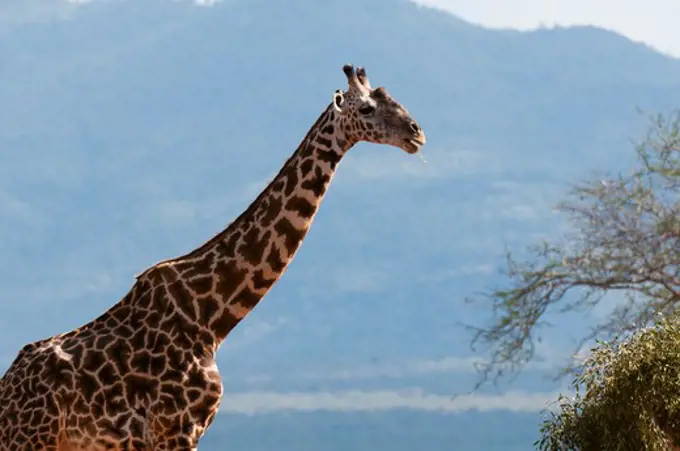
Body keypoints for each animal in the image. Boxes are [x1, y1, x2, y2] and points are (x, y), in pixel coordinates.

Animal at [0, 64, 424, 451]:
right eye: (366, 108)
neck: (212, 317)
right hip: (32, 440)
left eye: (393, 98)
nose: (416, 133)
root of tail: (6, 388)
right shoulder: (174, 430)